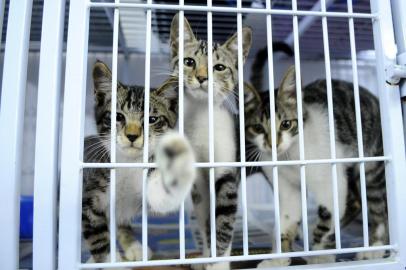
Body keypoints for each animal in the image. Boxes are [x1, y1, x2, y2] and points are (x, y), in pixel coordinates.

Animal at [168, 14, 251, 270]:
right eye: (189, 61)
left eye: (220, 67)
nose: (202, 77)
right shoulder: (198, 183)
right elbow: (206, 221)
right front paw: (206, 257)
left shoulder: (226, 171)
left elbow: (223, 222)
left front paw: (219, 263)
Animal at [246, 66, 388, 266]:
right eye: (258, 128)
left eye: (286, 124)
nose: (273, 144)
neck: (290, 156)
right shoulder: (286, 186)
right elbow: (286, 218)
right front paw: (277, 259)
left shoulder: (330, 181)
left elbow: (328, 217)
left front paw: (321, 255)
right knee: (354, 201)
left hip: (371, 165)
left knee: (377, 207)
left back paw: (375, 247)